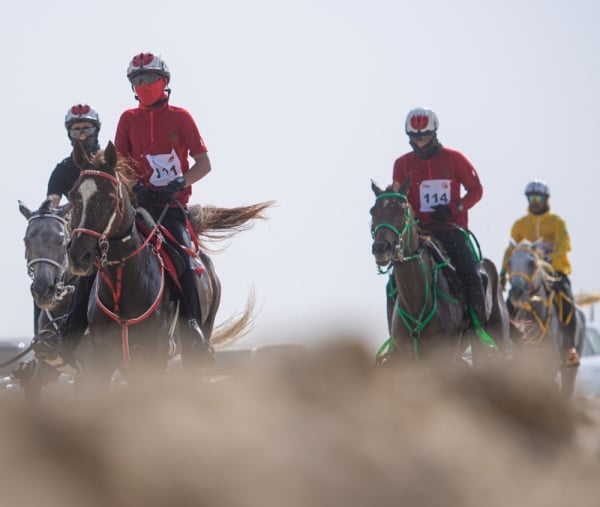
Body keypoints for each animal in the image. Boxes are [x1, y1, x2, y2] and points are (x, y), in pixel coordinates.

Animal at [65, 141, 270, 386]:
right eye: (73, 195)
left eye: (108, 198)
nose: (79, 255)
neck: (122, 284)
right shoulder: (100, 362)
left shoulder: (155, 356)